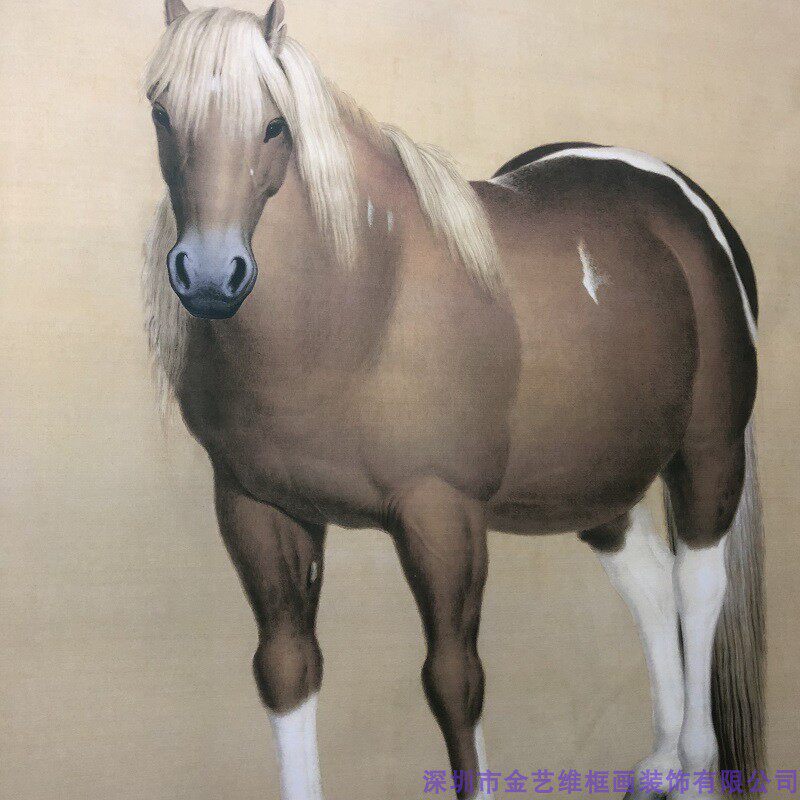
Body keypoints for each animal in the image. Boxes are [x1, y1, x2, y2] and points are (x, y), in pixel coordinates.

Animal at [142, 3, 764, 798]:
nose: (211, 275)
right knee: (653, 586)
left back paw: (693, 767)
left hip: (709, 452)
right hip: (595, 482)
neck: (361, 305)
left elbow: (453, 682)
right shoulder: (258, 509)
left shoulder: (443, 516)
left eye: (275, 123)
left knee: (698, 586)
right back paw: (658, 764)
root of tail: (686, 204)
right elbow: (287, 669)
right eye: (162, 112)